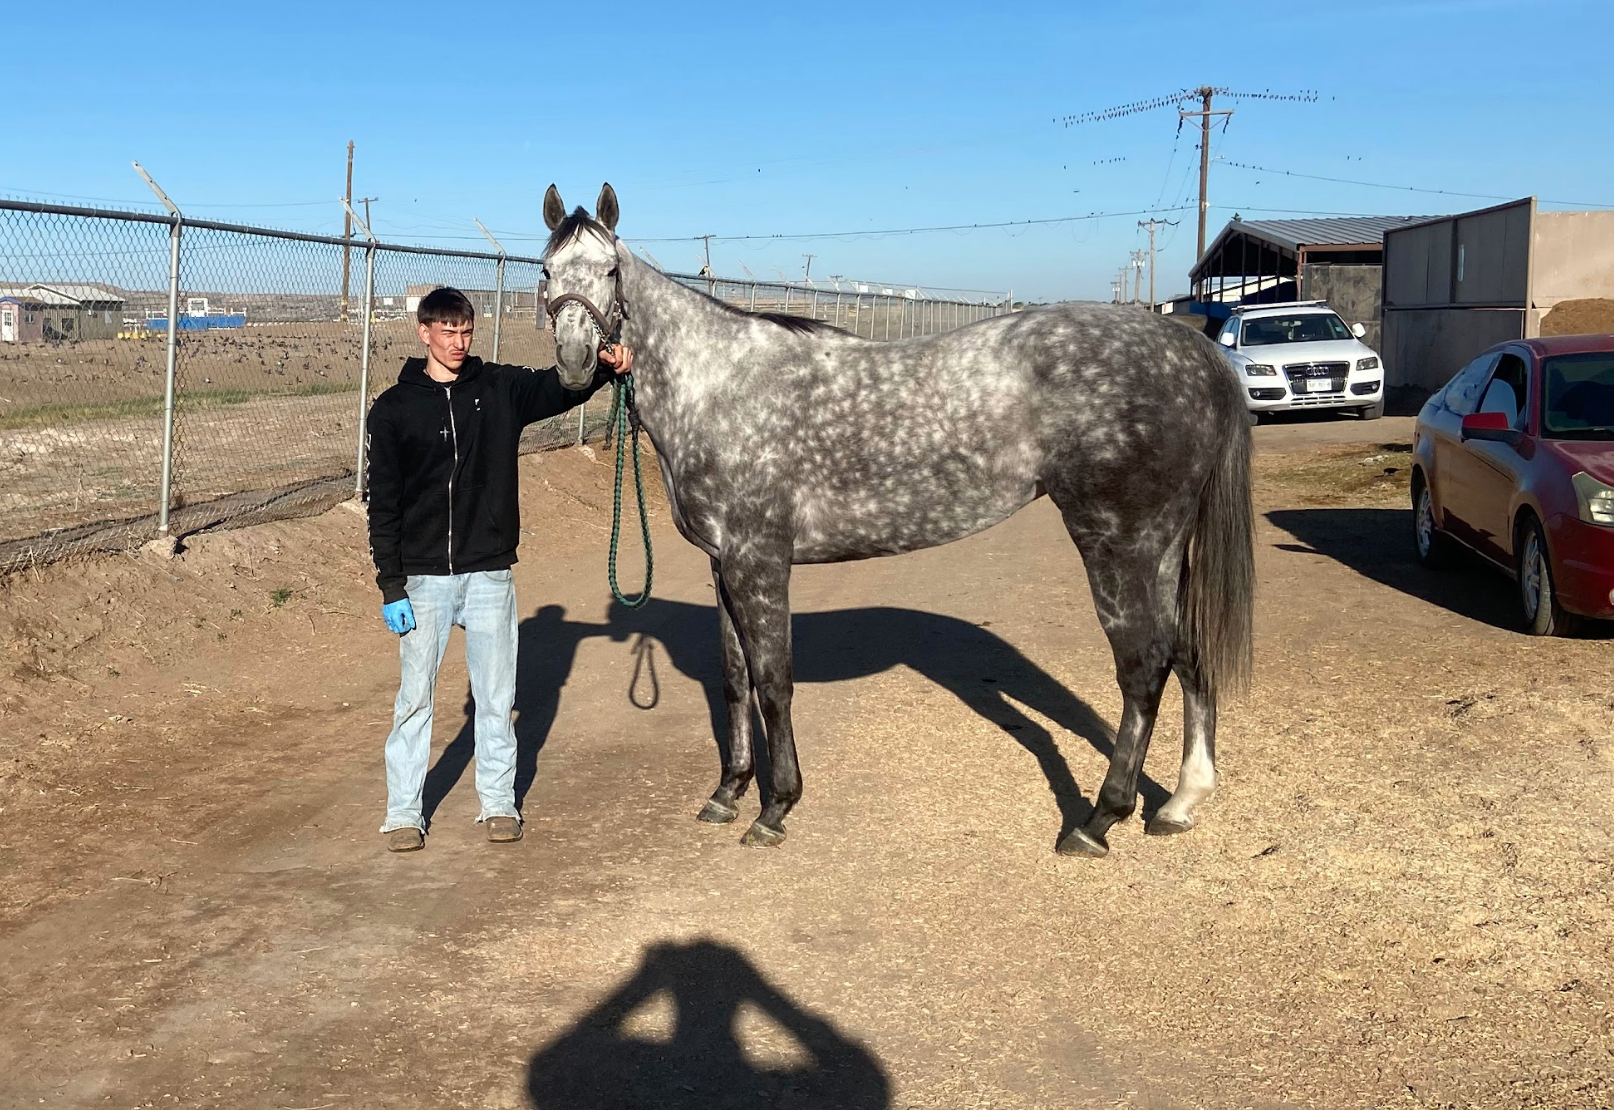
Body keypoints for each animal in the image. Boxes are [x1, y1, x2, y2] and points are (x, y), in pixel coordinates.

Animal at [540, 183, 1254, 858]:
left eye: (610, 269)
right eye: (546, 270)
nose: (574, 362)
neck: (719, 386)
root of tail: (1192, 350)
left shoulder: (758, 561)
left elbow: (773, 682)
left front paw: (776, 808)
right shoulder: (723, 565)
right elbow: (735, 681)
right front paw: (727, 794)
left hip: (1115, 544)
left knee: (1143, 667)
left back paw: (1098, 820)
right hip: (1163, 547)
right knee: (1184, 652)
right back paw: (1180, 802)